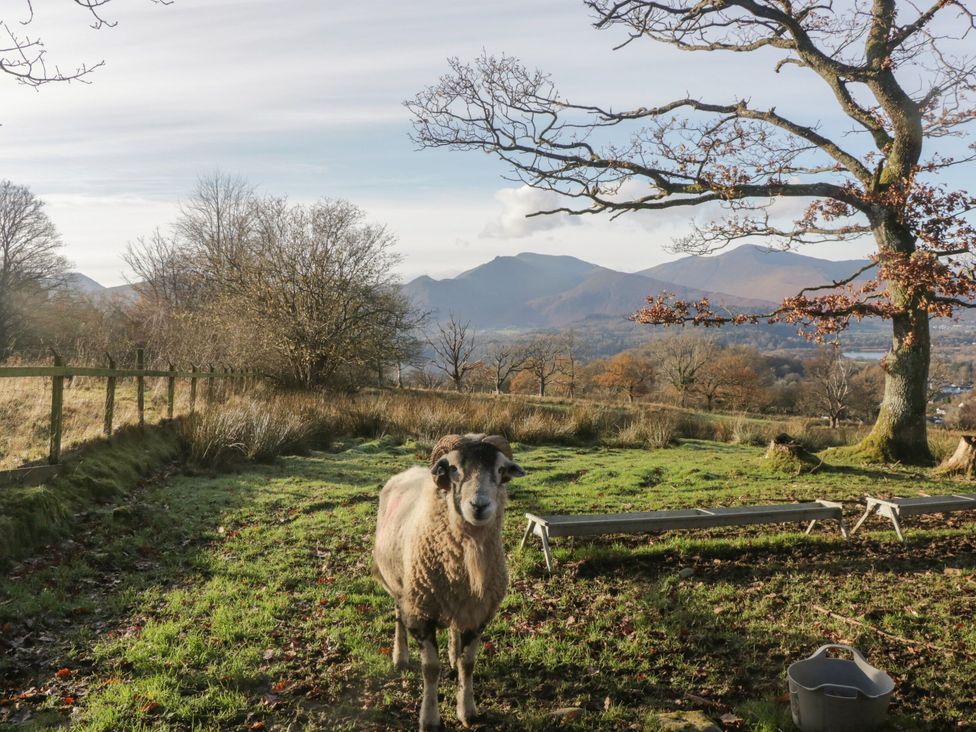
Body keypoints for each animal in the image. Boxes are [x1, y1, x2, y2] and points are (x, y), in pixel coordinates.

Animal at [372, 433, 526, 731]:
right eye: (453, 468)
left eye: (500, 470)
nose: (479, 506)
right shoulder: (420, 611)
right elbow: (430, 669)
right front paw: (429, 719)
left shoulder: (479, 613)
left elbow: (468, 663)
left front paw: (467, 711)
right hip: (399, 586)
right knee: (398, 617)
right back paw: (400, 656)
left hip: (457, 601)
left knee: (454, 630)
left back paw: (452, 654)